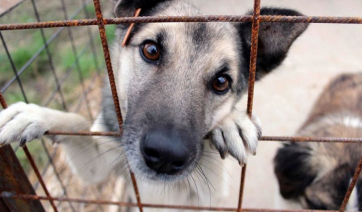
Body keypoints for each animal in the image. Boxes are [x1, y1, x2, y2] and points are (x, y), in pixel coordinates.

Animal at [0, 0, 306, 211]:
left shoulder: (206, 197)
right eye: (151, 50)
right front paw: (33, 114)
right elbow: (76, 121)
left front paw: (231, 122)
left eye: (221, 82)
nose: (165, 156)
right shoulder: (97, 167)